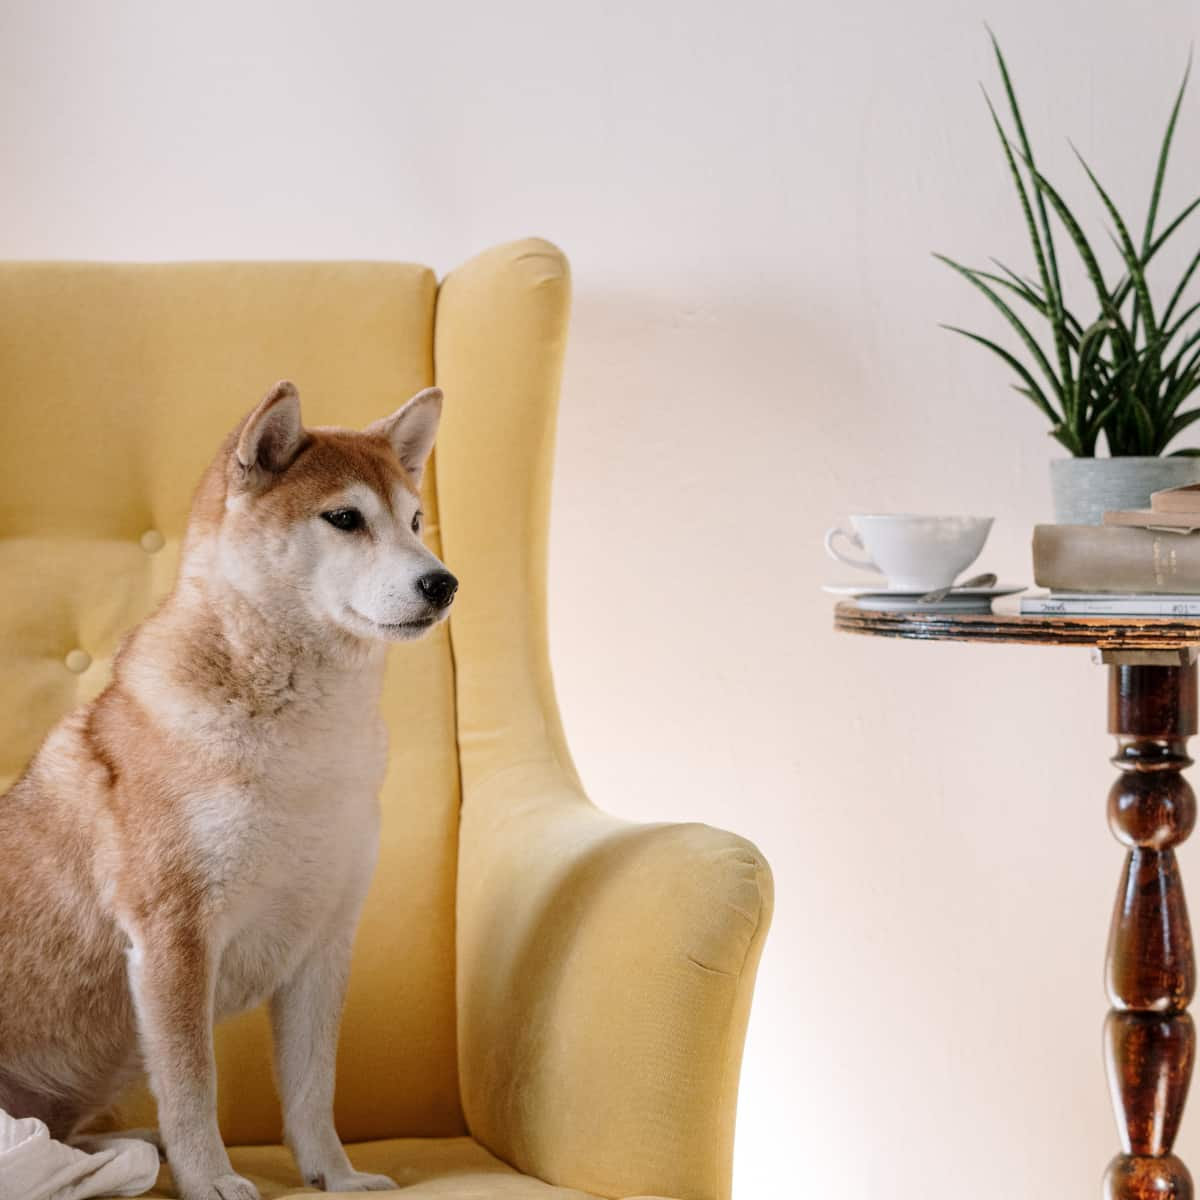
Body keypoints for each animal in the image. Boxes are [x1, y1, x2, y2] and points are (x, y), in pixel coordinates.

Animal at [0, 379, 456, 1195]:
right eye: (345, 518)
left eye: (413, 521)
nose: (443, 582)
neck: (302, 749)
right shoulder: (174, 936)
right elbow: (193, 1083)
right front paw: (210, 1177)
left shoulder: (323, 943)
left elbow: (312, 1089)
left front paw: (335, 1175)